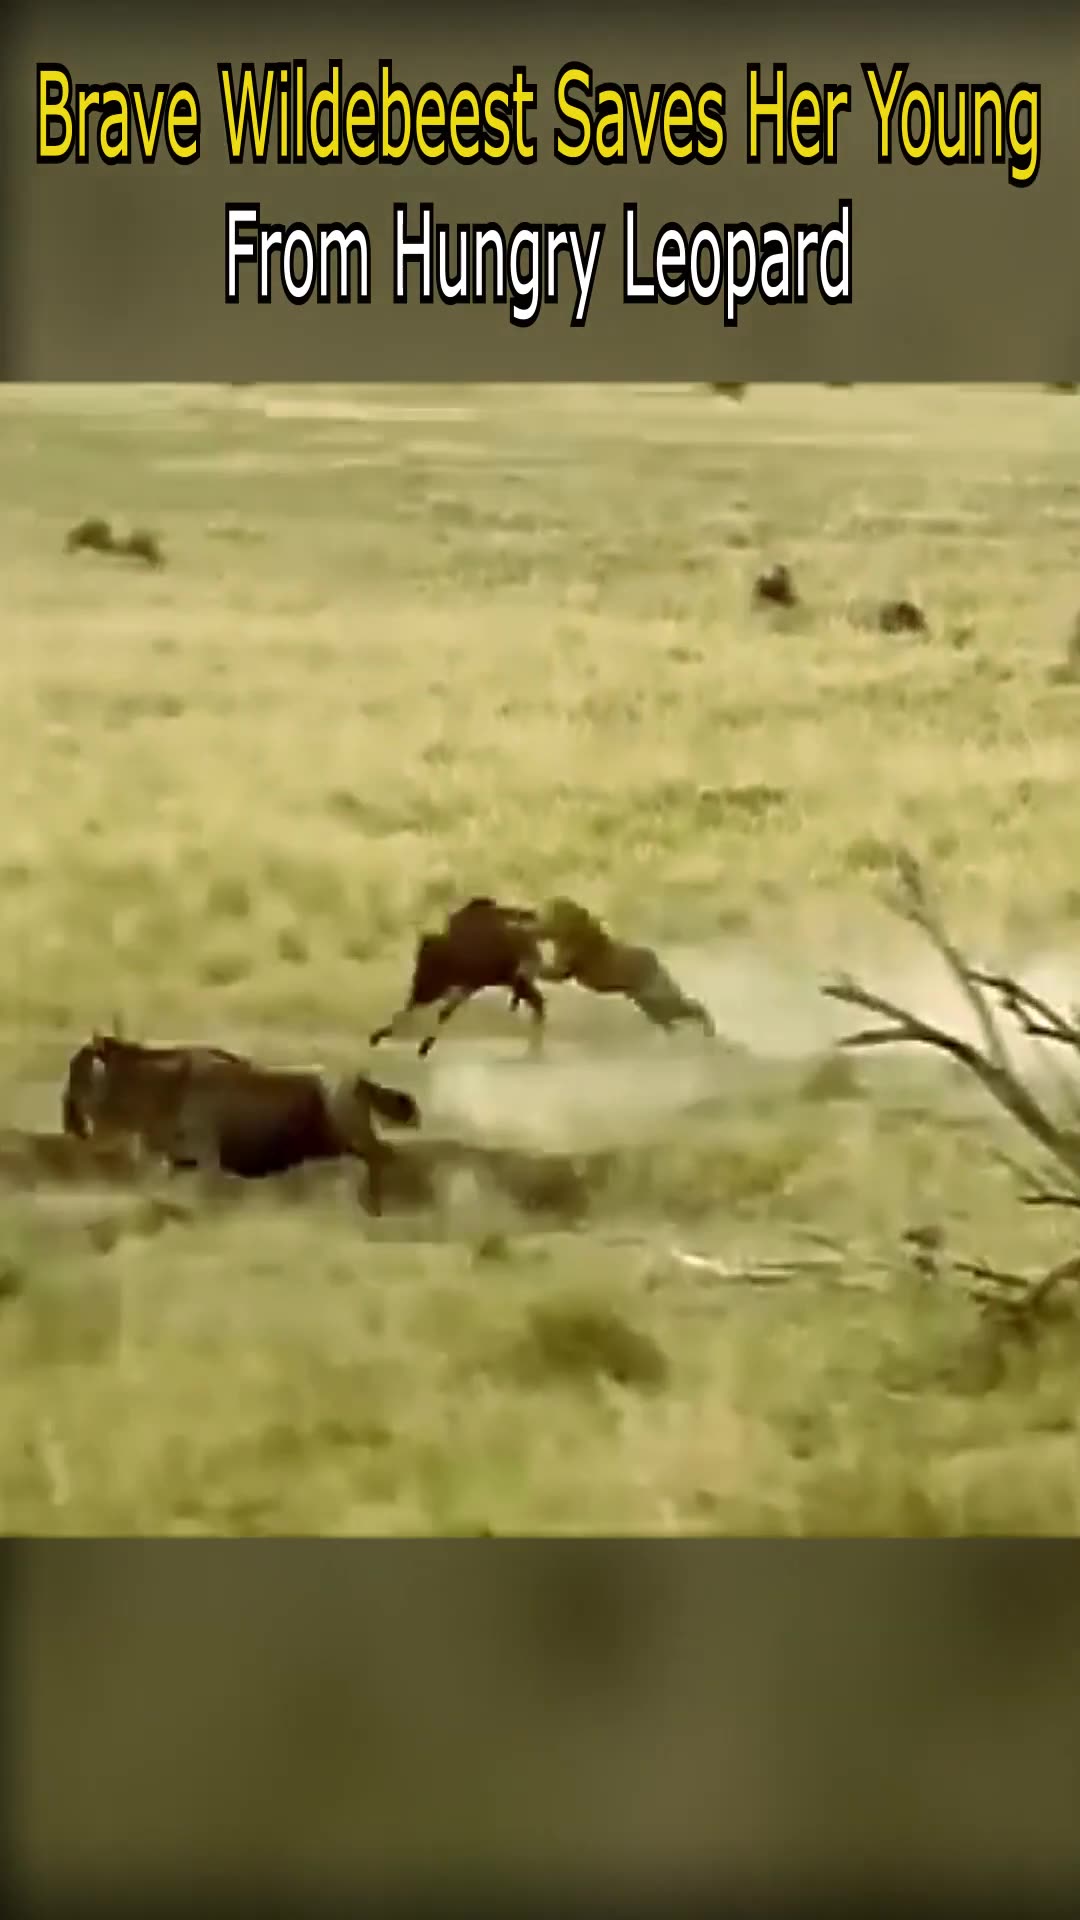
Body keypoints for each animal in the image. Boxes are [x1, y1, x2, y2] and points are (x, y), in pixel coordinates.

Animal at [61, 1036, 418, 1213]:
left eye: (79, 1069)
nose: (70, 1121)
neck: (170, 1085)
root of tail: (359, 1080)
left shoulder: (207, 1160)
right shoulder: (175, 1159)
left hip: (353, 1140)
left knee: (380, 1158)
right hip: (343, 1146)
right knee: (379, 1159)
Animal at [368, 894, 545, 1059]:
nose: (416, 984)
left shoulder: (468, 984)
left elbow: (442, 1012)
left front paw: (423, 1046)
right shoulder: (467, 984)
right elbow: (438, 1011)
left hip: (510, 981)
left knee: (538, 1003)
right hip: (512, 982)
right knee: (538, 1002)